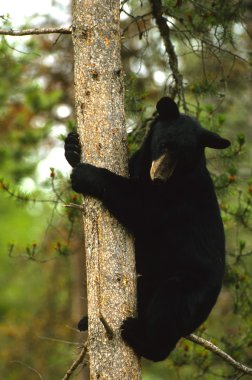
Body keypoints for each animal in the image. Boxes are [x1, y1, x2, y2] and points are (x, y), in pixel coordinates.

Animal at [64, 96, 230, 360]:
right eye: (163, 144)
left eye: (183, 157)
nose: (159, 177)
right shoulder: (139, 164)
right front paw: (72, 147)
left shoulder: (179, 198)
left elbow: (142, 209)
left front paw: (87, 174)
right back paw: (86, 321)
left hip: (189, 286)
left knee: (168, 307)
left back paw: (137, 335)